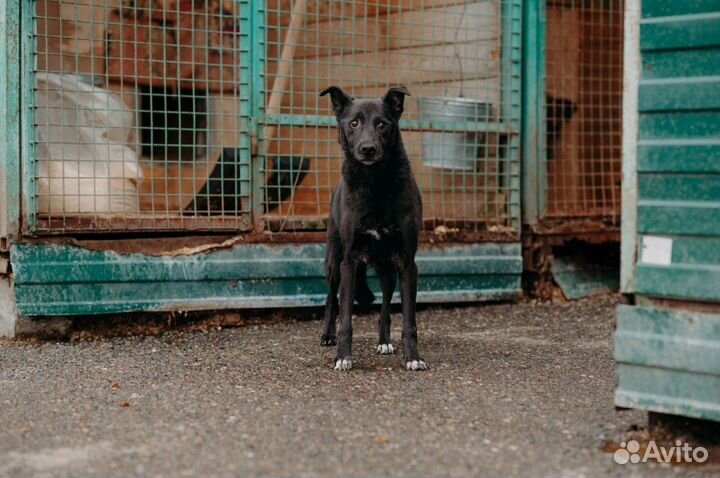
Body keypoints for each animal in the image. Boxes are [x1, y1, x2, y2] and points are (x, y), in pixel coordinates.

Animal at [318, 84, 424, 372]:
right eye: (353, 123)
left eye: (382, 124)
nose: (367, 149)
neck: (375, 182)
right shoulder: (349, 262)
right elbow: (345, 318)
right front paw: (343, 357)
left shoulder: (407, 262)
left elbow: (408, 320)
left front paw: (413, 357)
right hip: (334, 260)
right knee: (331, 299)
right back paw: (327, 335)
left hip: (387, 269)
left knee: (385, 306)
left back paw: (384, 341)